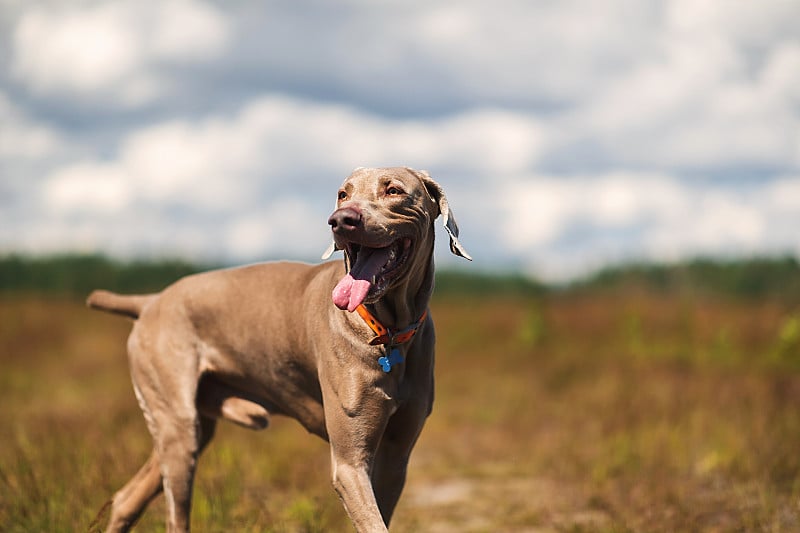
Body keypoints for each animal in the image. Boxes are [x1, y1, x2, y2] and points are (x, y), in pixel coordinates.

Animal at [89, 167, 468, 532]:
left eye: (393, 190)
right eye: (342, 194)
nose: (341, 219)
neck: (388, 331)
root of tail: (150, 301)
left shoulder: (396, 456)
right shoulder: (349, 464)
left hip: (189, 426)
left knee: (128, 498)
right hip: (177, 422)